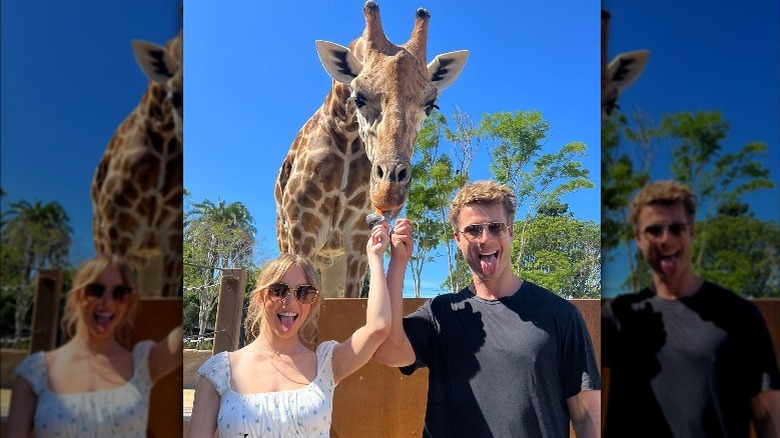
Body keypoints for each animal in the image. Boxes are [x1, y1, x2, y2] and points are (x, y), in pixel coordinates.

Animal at [276, 1, 466, 298]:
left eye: (431, 104)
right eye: (358, 97)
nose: (389, 190)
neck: (347, 139)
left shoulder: (357, 236)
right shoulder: (301, 228)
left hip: (333, 260)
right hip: (285, 239)